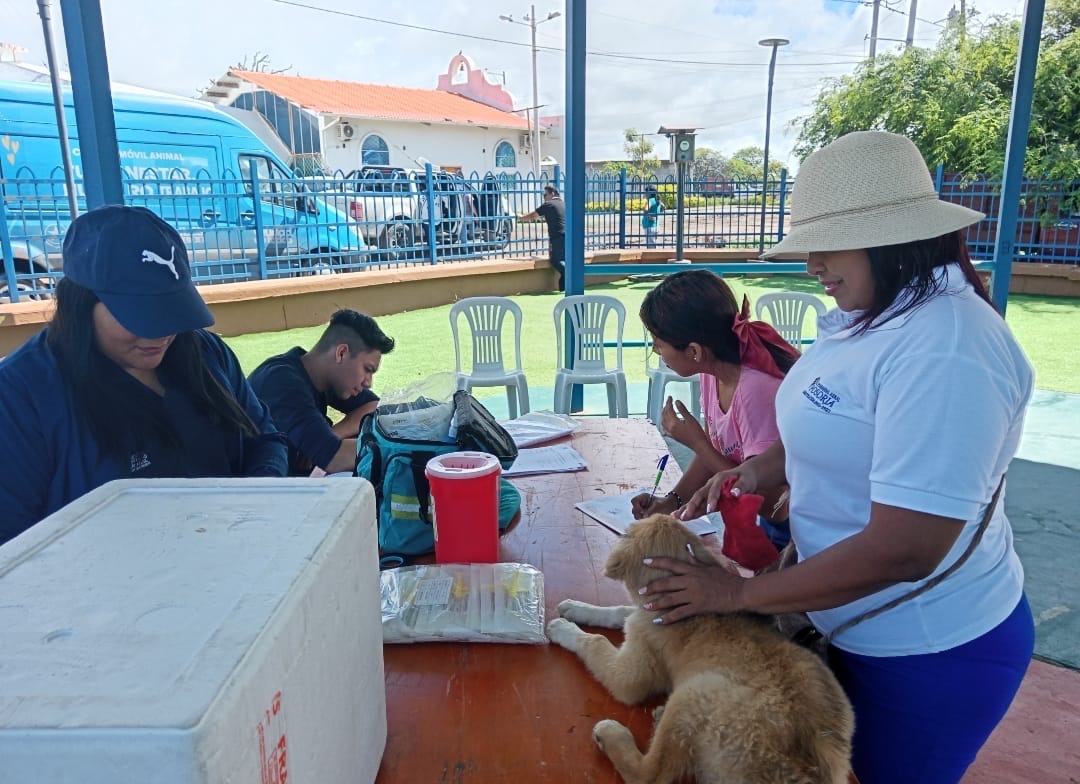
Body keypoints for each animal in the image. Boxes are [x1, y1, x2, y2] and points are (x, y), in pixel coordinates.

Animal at [546, 514, 854, 784]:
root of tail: (807, 772)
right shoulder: (641, 617)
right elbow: (618, 612)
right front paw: (577, 608)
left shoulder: (629, 675)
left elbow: (596, 641)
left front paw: (563, 629)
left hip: (696, 692)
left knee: (649, 774)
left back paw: (612, 734)